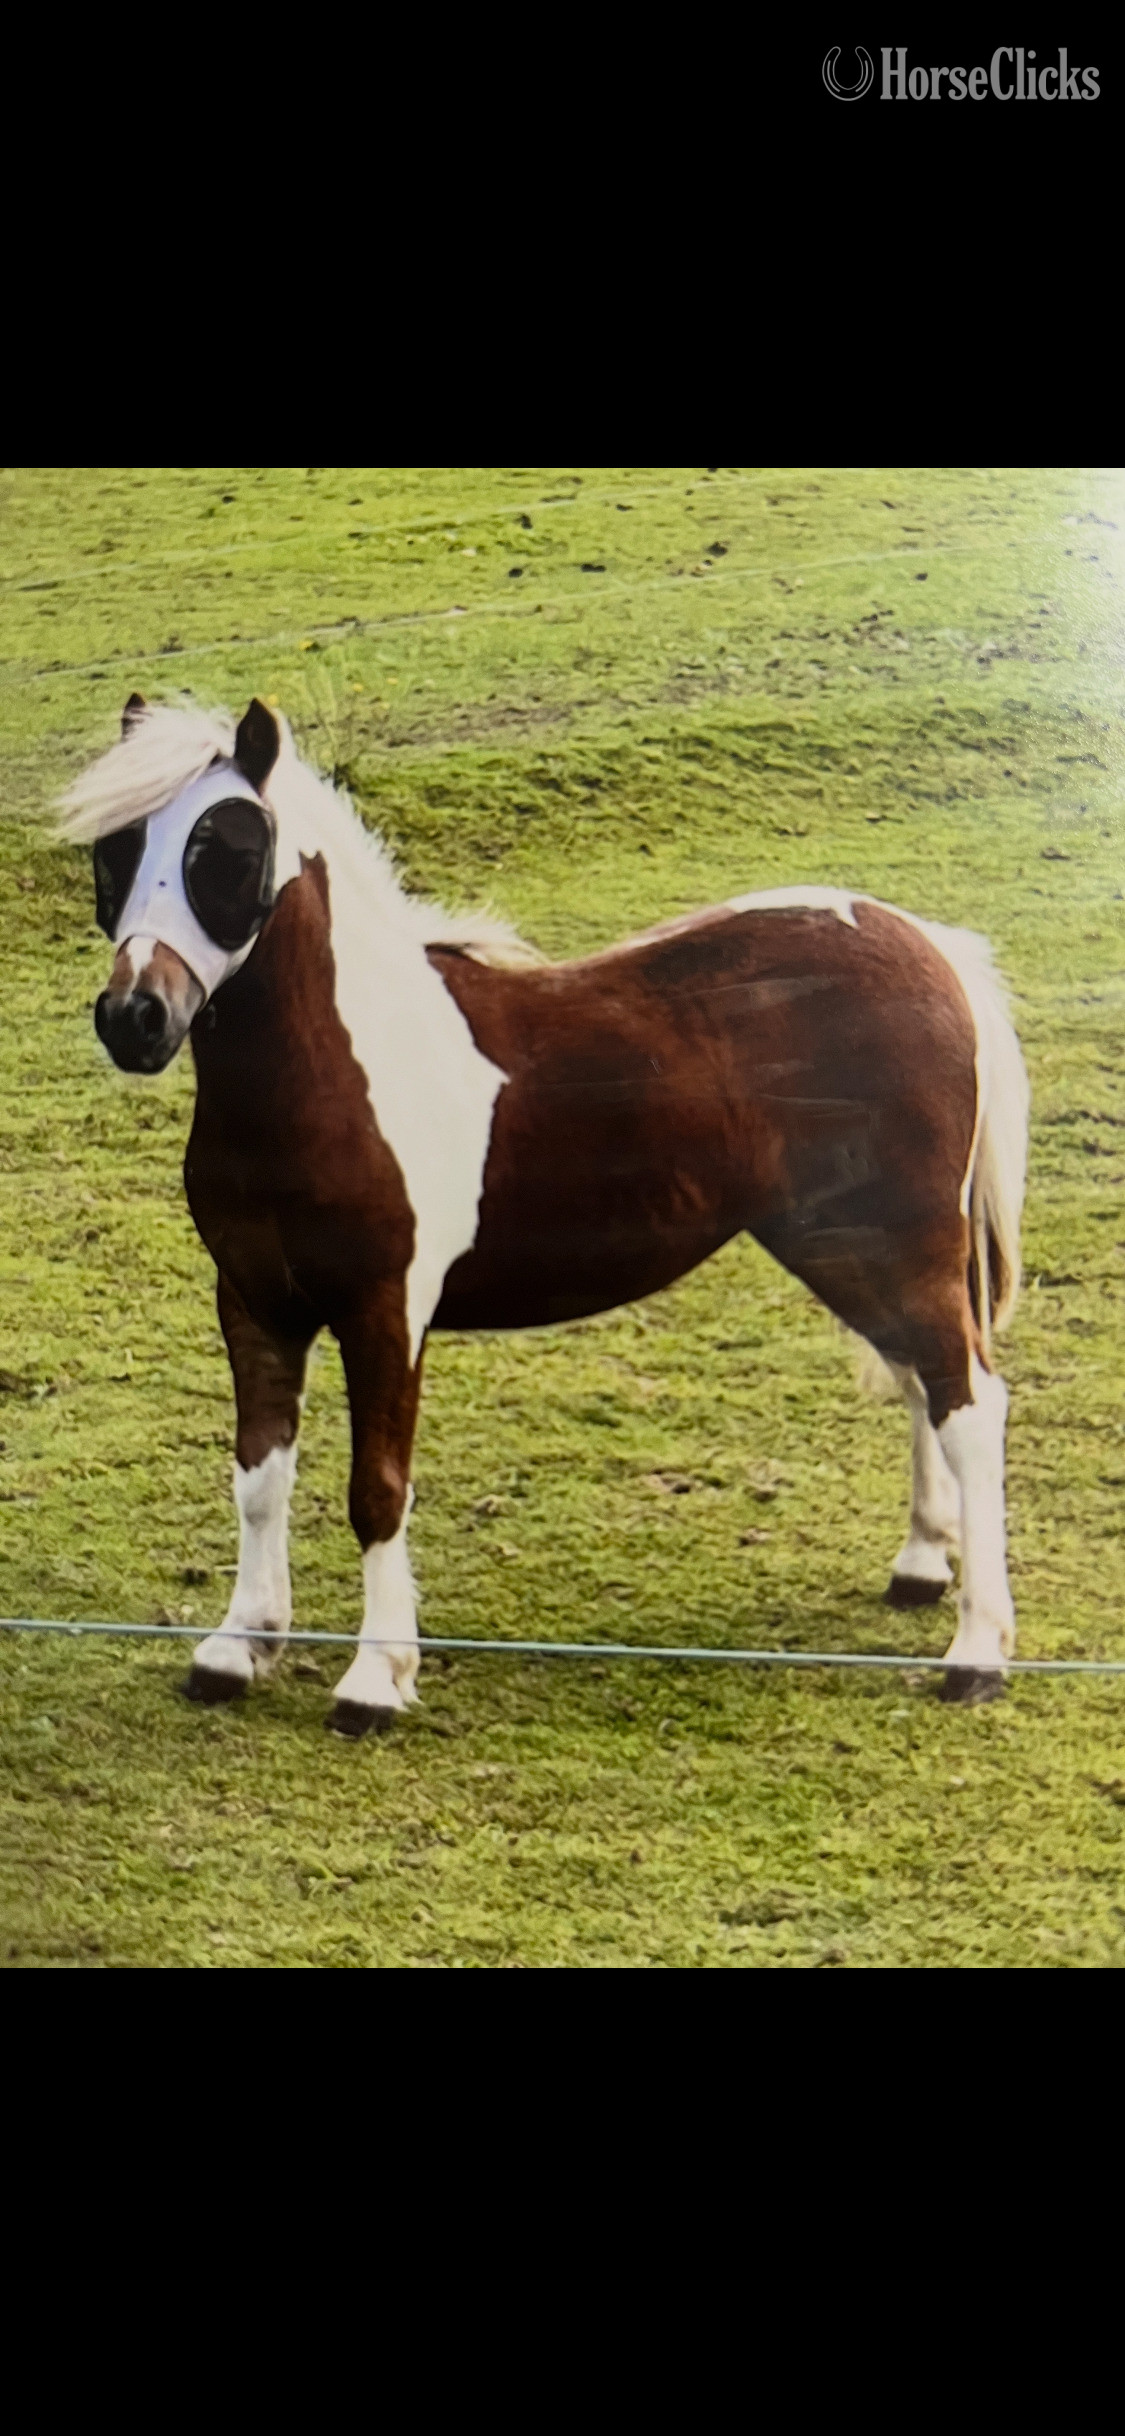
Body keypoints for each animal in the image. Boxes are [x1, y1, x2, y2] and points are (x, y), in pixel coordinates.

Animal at [62, 693, 1030, 1731]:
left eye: (230, 851)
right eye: (117, 850)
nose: (136, 1018)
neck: (337, 1074)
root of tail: (928, 946)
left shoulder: (384, 1312)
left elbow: (378, 1490)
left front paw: (375, 1679)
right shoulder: (255, 1305)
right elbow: (257, 1476)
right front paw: (238, 1647)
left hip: (903, 1245)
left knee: (969, 1401)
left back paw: (975, 1653)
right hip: (842, 1247)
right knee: (921, 1379)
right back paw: (920, 1568)